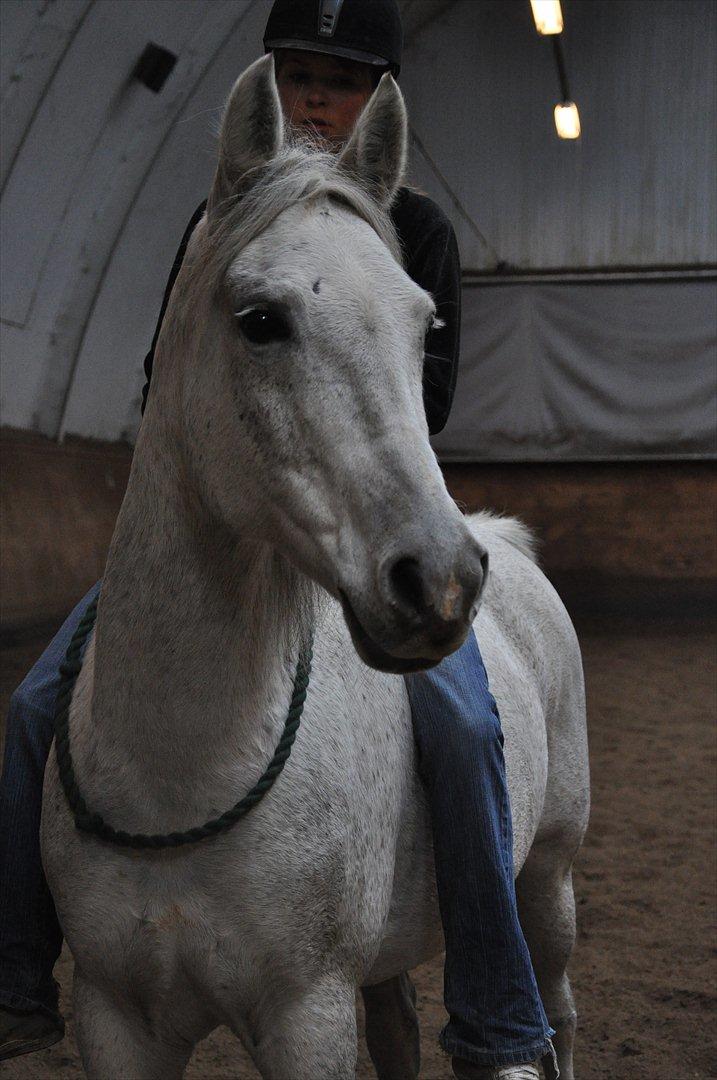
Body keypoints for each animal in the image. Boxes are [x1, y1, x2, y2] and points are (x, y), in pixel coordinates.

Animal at [42, 56, 587, 1080]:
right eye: (261, 320)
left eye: (424, 326)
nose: (440, 580)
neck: (185, 766)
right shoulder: (113, 1016)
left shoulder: (307, 1015)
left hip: (549, 878)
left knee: (559, 1009)